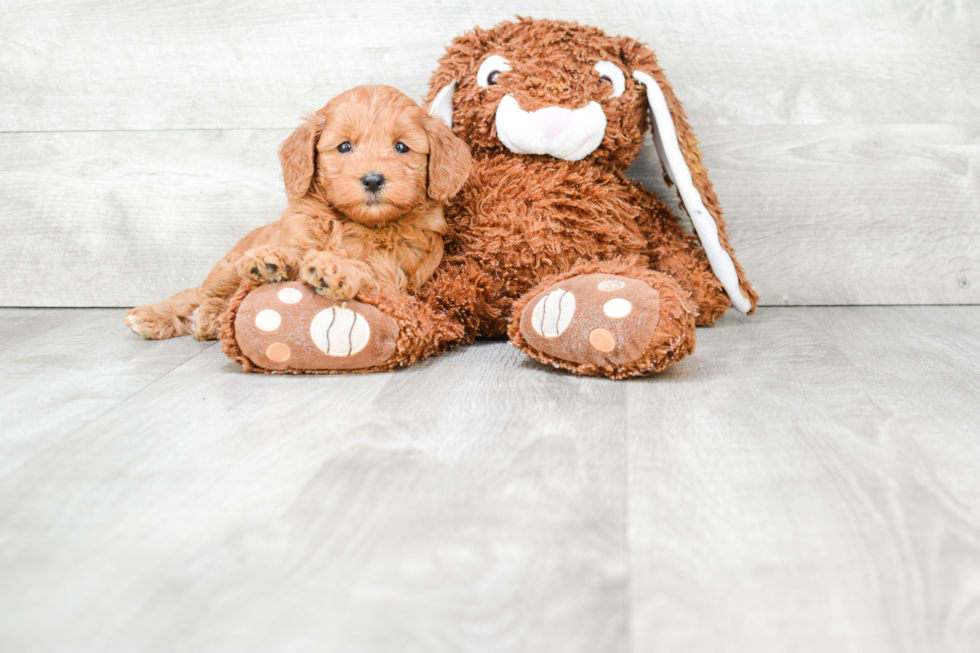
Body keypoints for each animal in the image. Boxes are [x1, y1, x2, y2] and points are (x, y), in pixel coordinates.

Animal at [125, 85, 470, 342]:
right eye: (344, 147)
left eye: (401, 147)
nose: (373, 179)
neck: (353, 222)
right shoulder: (296, 236)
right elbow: (292, 254)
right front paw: (271, 262)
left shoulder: (396, 281)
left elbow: (365, 271)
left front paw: (333, 268)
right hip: (228, 267)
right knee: (198, 294)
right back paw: (160, 315)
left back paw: (210, 319)